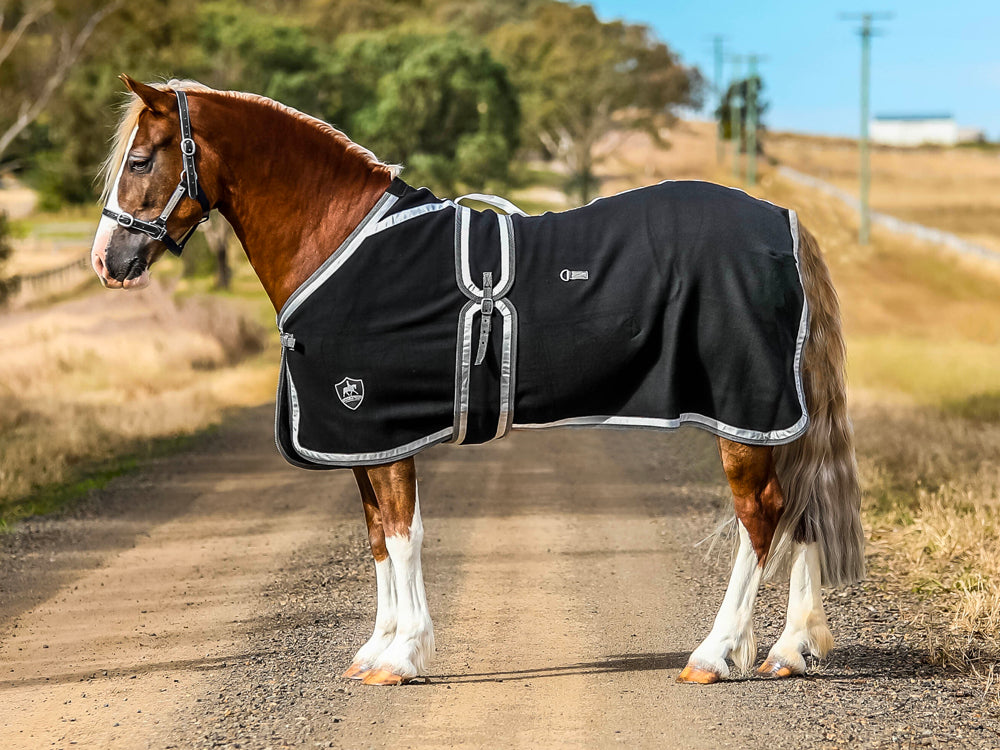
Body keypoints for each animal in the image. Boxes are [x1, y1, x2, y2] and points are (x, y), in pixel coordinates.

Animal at [90, 76, 865, 687]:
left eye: (140, 159)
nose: (107, 261)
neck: (344, 244)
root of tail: (783, 223)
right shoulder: (357, 436)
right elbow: (377, 537)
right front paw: (376, 648)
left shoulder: (383, 426)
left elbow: (404, 533)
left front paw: (402, 657)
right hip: (774, 417)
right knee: (800, 511)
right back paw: (790, 651)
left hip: (747, 412)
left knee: (761, 517)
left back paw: (716, 653)